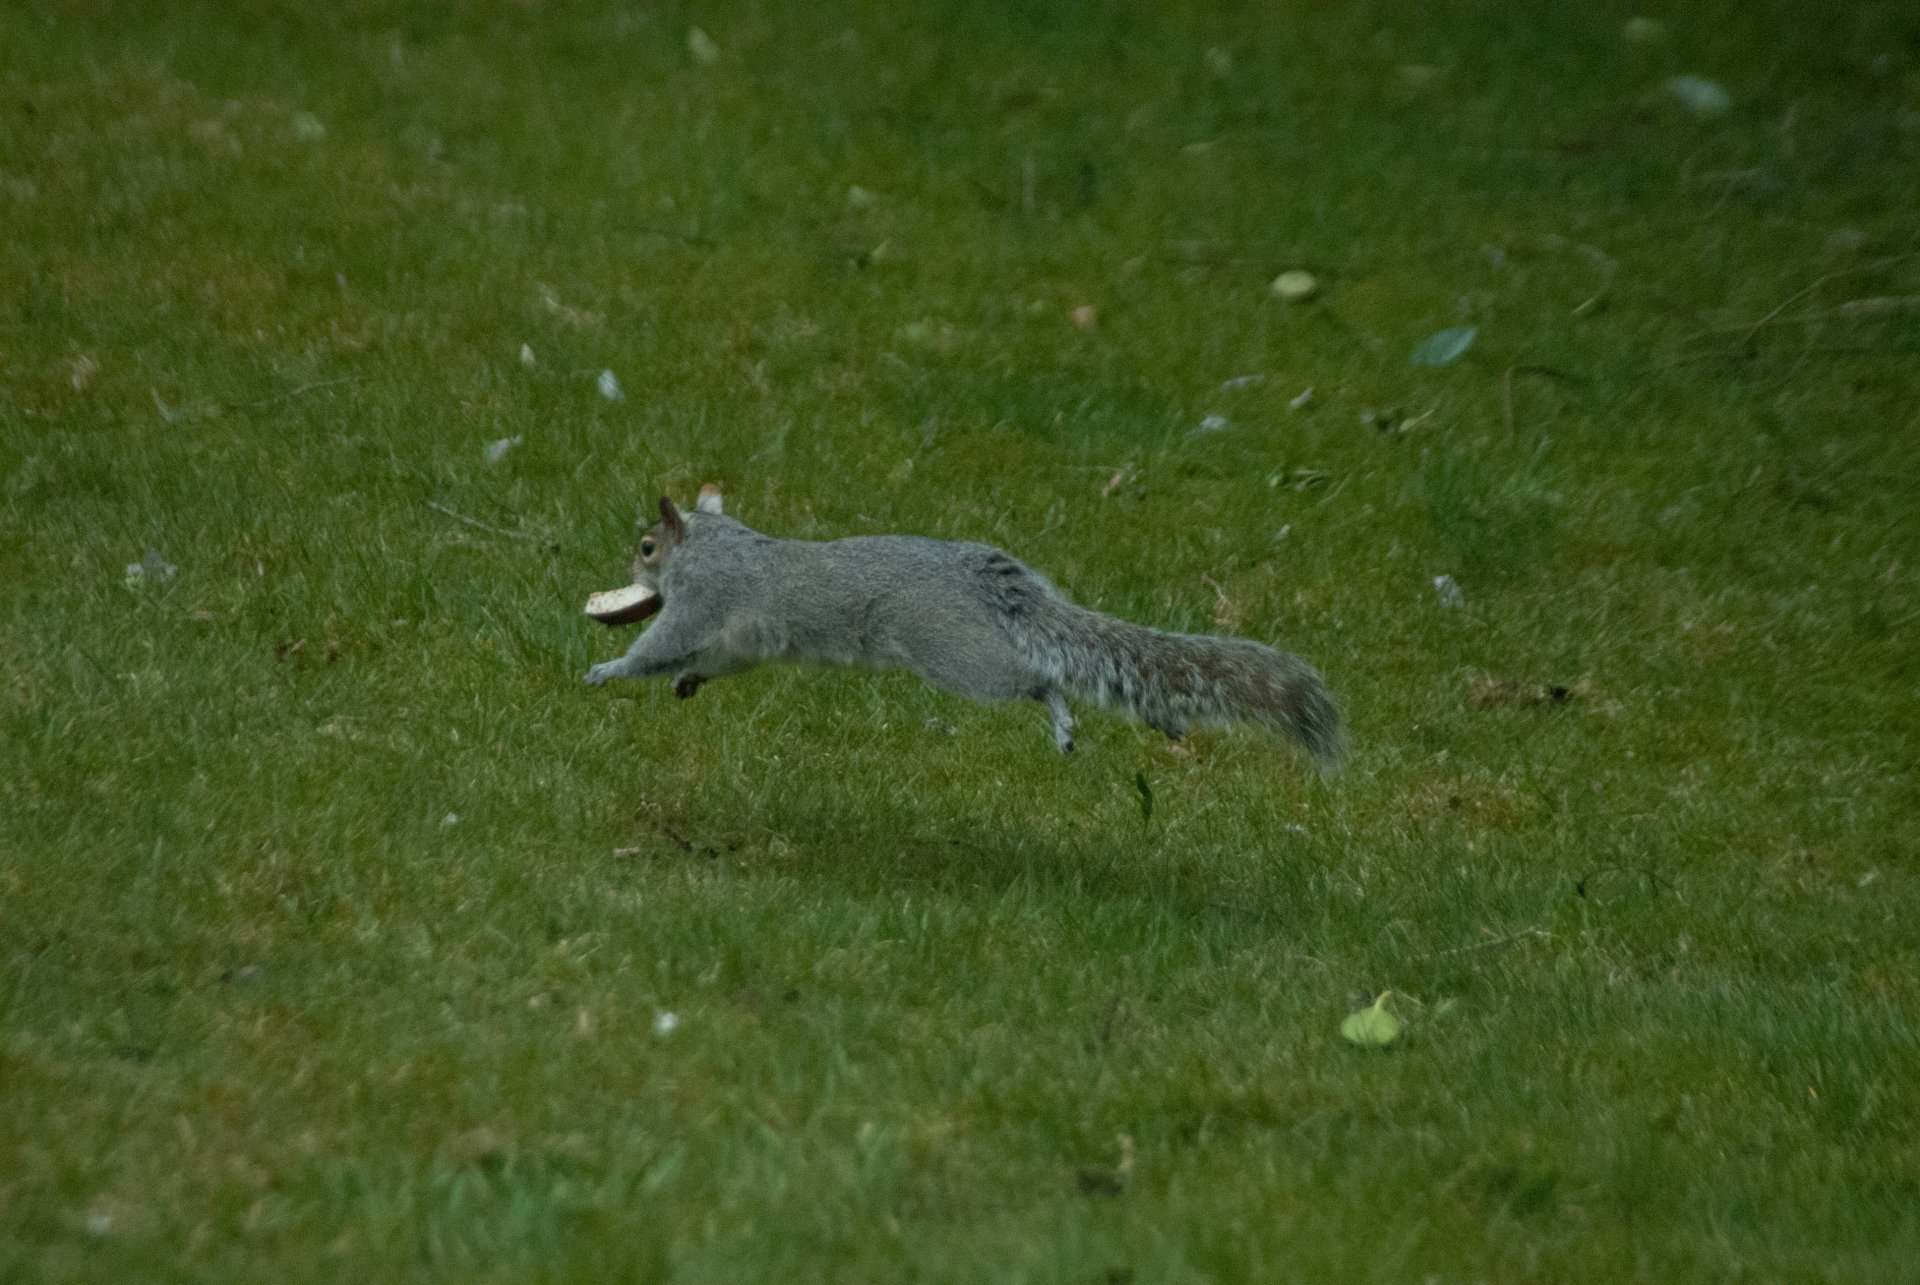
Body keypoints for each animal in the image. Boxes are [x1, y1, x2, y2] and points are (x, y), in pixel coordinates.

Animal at [584, 486, 1345, 770]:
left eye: (647, 547)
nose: (629, 563)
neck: (716, 543)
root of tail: (985, 579)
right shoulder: (739, 638)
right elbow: (712, 660)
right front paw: (688, 682)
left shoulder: (704, 601)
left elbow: (661, 643)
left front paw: (608, 669)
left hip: (955, 651)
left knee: (1038, 678)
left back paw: (1061, 719)